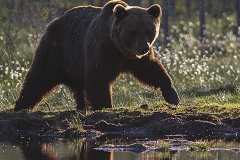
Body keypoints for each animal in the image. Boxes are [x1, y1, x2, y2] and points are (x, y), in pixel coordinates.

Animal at [14, 0, 180, 111]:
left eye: (148, 30)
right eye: (133, 31)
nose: (143, 48)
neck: (120, 48)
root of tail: (54, 21)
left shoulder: (134, 59)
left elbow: (151, 70)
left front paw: (172, 95)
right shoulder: (103, 50)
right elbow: (98, 77)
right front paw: (104, 105)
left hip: (75, 64)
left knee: (78, 87)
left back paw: (82, 105)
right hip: (58, 50)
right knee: (39, 76)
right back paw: (21, 105)